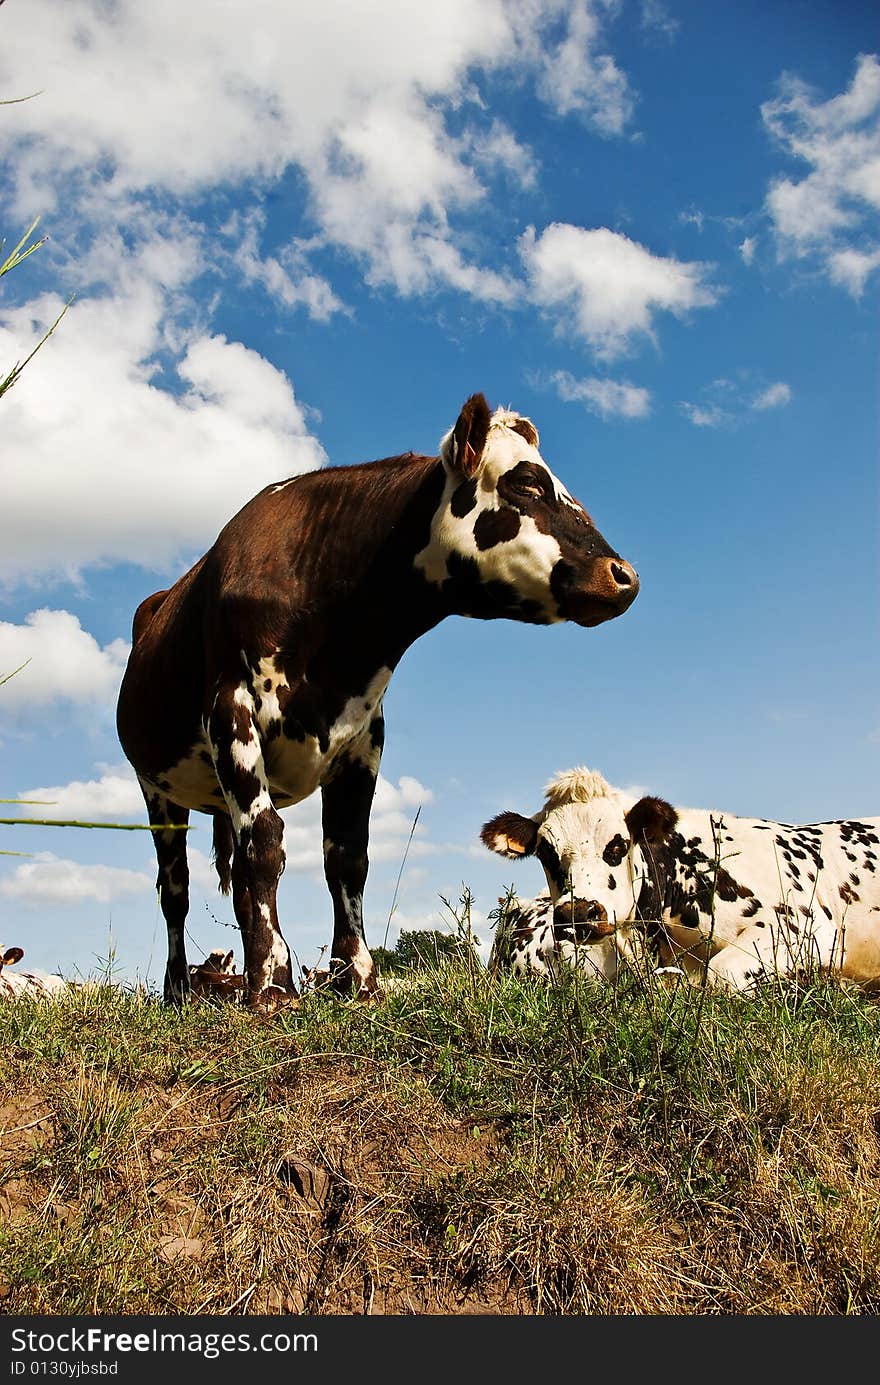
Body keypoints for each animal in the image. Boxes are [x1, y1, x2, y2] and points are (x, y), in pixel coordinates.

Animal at [115, 396, 640, 1013]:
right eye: (528, 481)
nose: (625, 577)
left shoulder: (363, 738)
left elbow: (348, 858)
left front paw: (356, 976)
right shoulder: (231, 711)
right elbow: (265, 846)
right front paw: (271, 983)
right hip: (158, 789)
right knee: (176, 887)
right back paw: (179, 988)